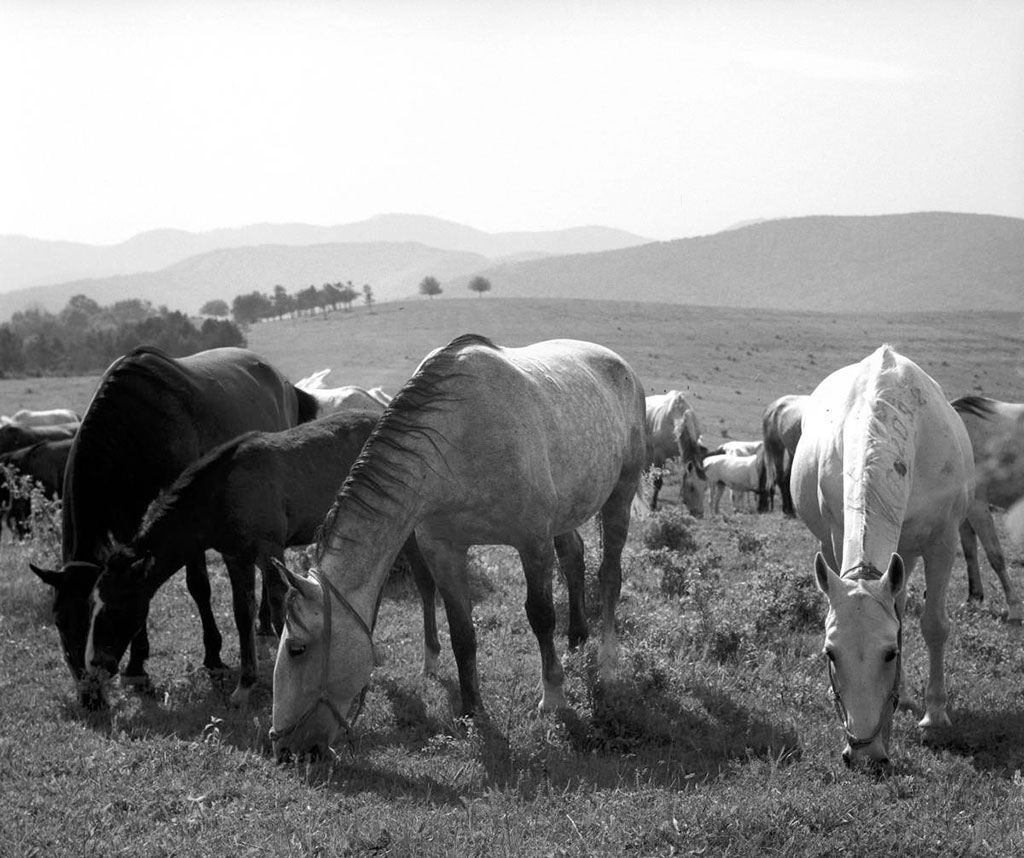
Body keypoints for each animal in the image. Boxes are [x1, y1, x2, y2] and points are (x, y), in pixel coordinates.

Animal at [29, 346, 317, 708]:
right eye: (59, 619)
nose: (90, 696)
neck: (135, 430)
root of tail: (281, 379)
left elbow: (199, 587)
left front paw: (214, 658)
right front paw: (137, 667)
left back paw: (263, 622)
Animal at [86, 413, 438, 708]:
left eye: (116, 608)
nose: (95, 665)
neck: (222, 492)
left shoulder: (269, 549)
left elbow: (280, 602)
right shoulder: (235, 556)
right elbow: (243, 614)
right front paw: (244, 686)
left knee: (424, 581)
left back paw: (431, 659)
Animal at [268, 335, 643, 757]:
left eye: (297, 648)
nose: (284, 749)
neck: (459, 439)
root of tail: (617, 363)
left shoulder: (532, 543)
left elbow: (541, 616)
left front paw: (553, 696)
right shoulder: (443, 551)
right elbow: (462, 633)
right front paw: (471, 710)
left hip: (620, 493)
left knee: (609, 574)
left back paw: (607, 659)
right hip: (566, 513)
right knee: (574, 559)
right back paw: (577, 640)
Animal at [790, 346, 974, 769]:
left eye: (890, 654)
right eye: (830, 653)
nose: (864, 754)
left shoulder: (943, 541)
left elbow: (934, 625)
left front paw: (935, 715)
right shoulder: (837, 533)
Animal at [950, 397, 1024, 626]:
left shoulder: (977, 505)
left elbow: (995, 555)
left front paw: (1014, 608)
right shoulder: (964, 512)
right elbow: (969, 552)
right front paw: (973, 598)